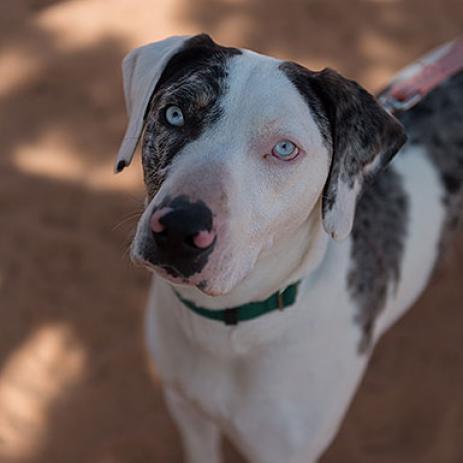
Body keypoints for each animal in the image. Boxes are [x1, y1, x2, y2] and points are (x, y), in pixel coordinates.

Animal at [114, 34, 462, 462]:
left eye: (284, 149)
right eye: (175, 115)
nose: (180, 229)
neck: (228, 328)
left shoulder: (284, 450)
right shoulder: (187, 411)